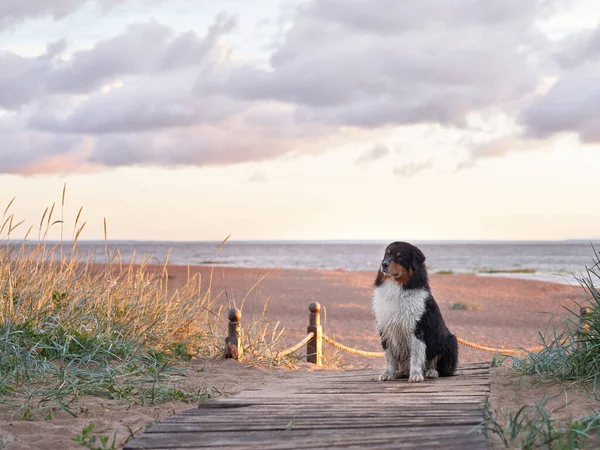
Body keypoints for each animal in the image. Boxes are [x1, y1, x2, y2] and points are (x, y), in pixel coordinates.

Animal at [370, 243, 460, 384]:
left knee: (443, 369)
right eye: (387, 254)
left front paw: (416, 375)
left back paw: (431, 372)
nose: (383, 264)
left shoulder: (417, 328)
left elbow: (416, 355)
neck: (398, 287)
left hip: (449, 340)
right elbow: (389, 357)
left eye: (400, 257)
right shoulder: (385, 329)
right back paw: (401, 372)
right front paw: (388, 374)